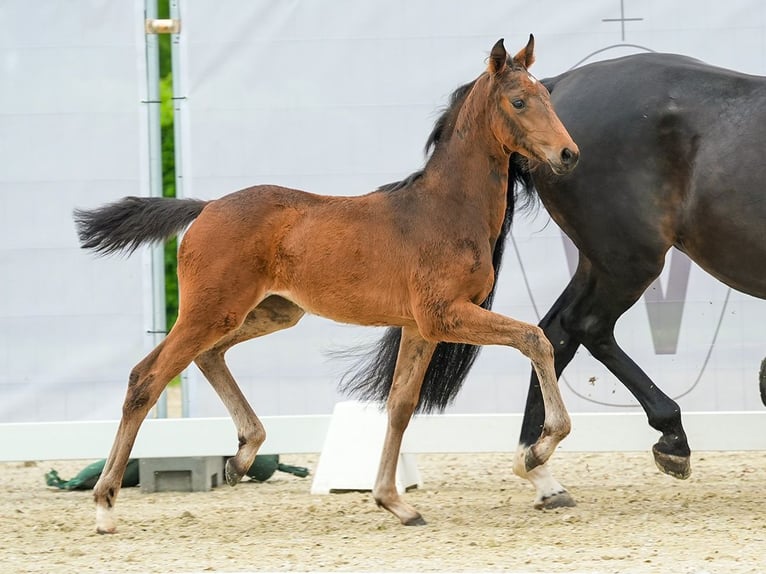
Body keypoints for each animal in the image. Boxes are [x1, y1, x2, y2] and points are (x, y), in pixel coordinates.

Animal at [78, 37, 580, 536]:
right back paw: (105, 506)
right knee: (146, 378)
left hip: (271, 312)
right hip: (211, 311)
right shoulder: (444, 315)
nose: (568, 154)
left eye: (547, 96)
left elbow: (401, 406)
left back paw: (242, 456)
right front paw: (536, 451)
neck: (446, 208)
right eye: (518, 101)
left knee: (208, 356)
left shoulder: (418, 327)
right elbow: (535, 339)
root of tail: (205, 208)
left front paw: (394, 502)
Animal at [346, 53, 766, 512]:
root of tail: (559, 83)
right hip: (627, 258)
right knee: (585, 327)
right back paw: (667, 439)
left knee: (555, 331)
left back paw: (540, 470)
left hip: (600, 260)